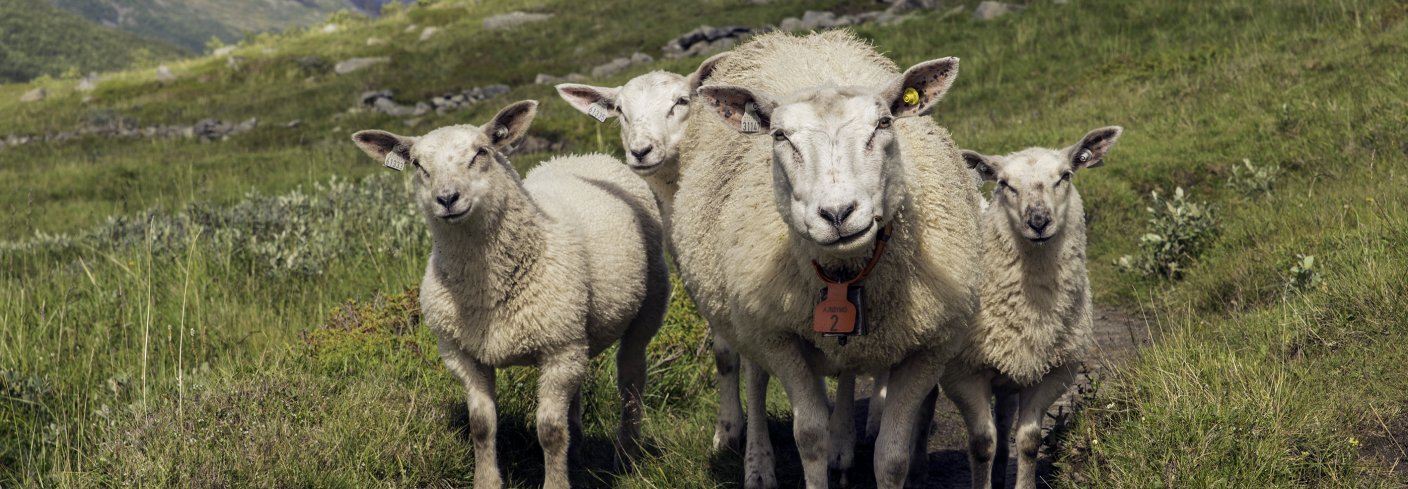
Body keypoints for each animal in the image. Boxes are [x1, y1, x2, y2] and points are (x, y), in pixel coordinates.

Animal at [344, 100, 664, 489]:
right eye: (418, 165)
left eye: (481, 152)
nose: (447, 199)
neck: (489, 288)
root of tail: (586, 156)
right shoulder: (462, 353)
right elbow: (482, 426)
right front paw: (487, 481)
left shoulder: (558, 350)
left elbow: (550, 431)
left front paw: (556, 483)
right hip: (575, 334)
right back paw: (577, 452)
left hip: (645, 307)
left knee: (631, 380)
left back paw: (626, 457)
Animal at [551, 54, 765, 450]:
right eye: (620, 110)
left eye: (682, 101)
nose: (640, 151)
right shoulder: (707, 272)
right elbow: (726, 353)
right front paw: (727, 432)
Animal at [670, 31, 979, 489]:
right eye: (779, 136)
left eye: (884, 123)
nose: (837, 214)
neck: (846, 272)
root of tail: (797, 39)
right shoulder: (778, 338)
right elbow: (808, 434)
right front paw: (813, 452)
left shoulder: (929, 349)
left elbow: (892, 457)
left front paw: (853, 449)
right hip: (747, 314)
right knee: (755, 378)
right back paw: (759, 464)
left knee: (846, 370)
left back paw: (842, 447)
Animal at [940, 127, 1126, 489]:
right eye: (1004, 183)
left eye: (1065, 176)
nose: (1038, 221)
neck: (1031, 308)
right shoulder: (961, 372)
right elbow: (981, 444)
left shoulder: (1054, 372)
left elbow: (1027, 440)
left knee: (1003, 418)